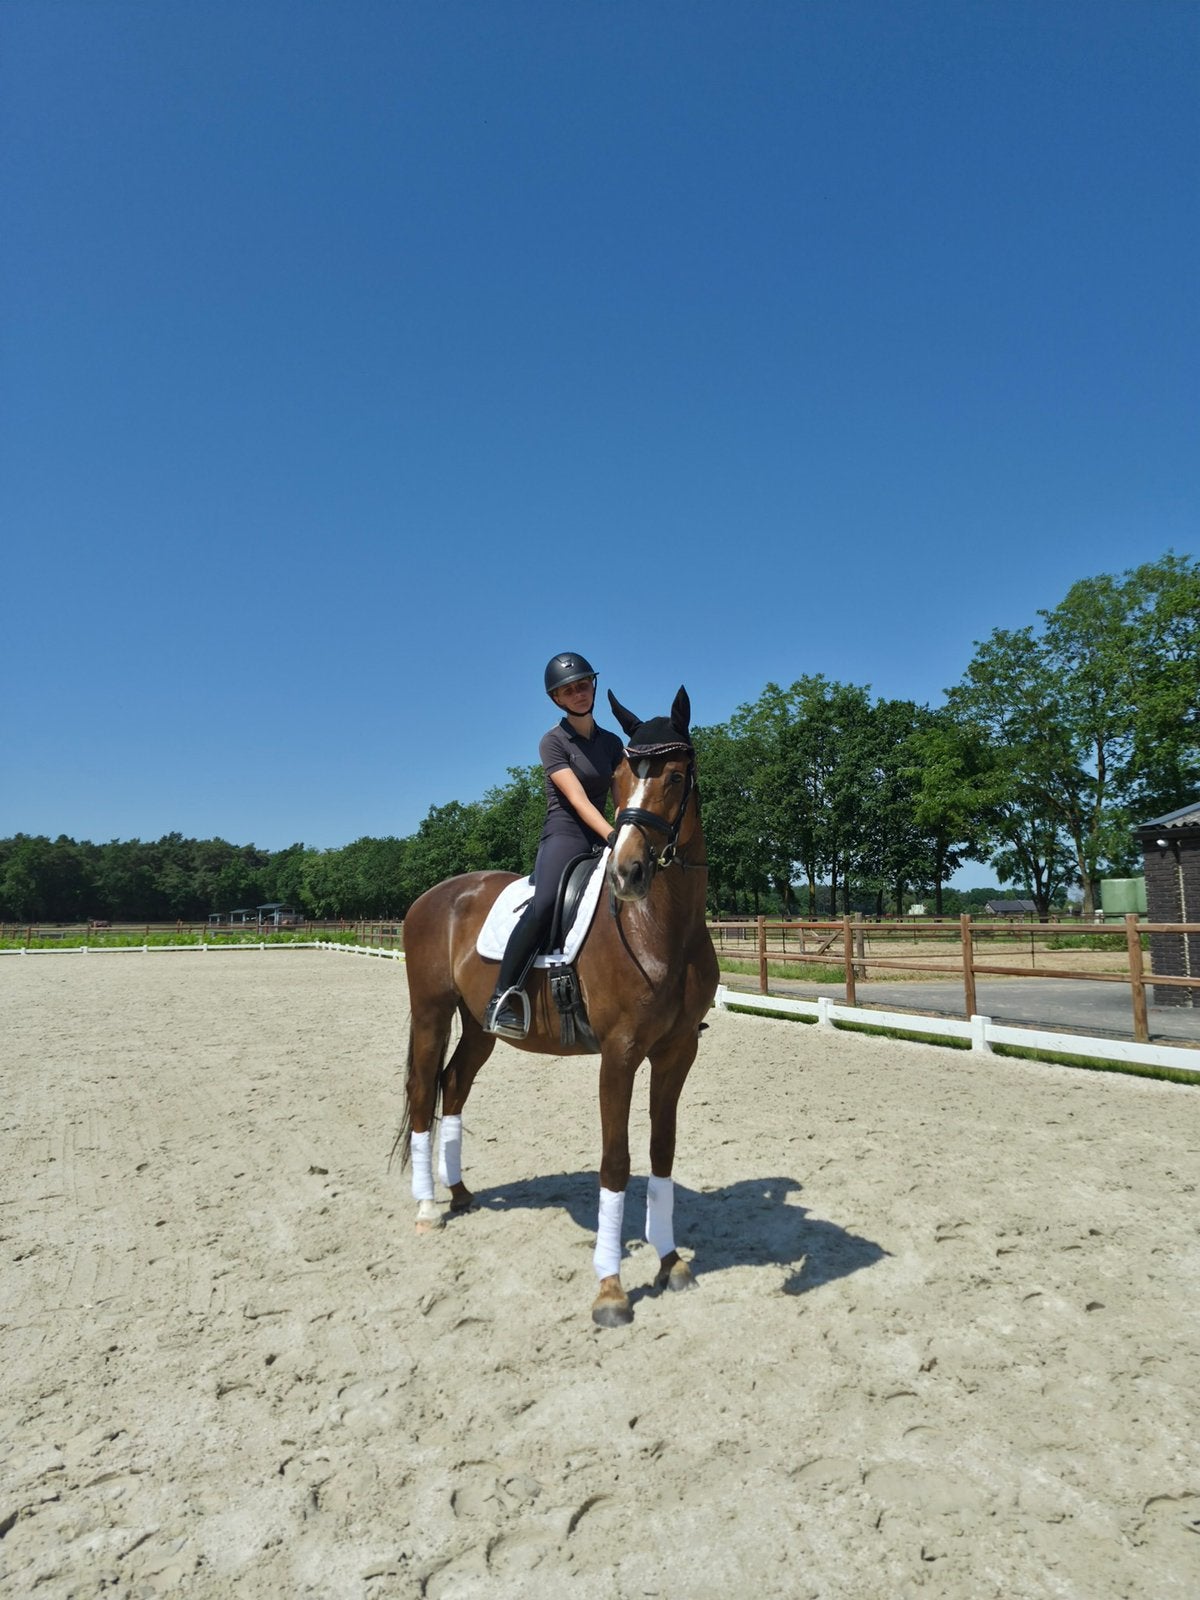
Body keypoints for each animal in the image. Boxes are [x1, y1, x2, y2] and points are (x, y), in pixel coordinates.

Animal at [395, 685, 719, 1327]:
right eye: (619, 778)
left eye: (674, 776)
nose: (627, 874)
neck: (659, 928)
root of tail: (435, 894)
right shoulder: (619, 1055)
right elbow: (616, 1162)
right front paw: (611, 1290)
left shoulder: (677, 1053)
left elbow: (662, 1153)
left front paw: (670, 1263)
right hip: (431, 1012)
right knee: (423, 1093)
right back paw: (426, 1209)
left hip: (480, 1028)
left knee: (454, 1086)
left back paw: (460, 1194)